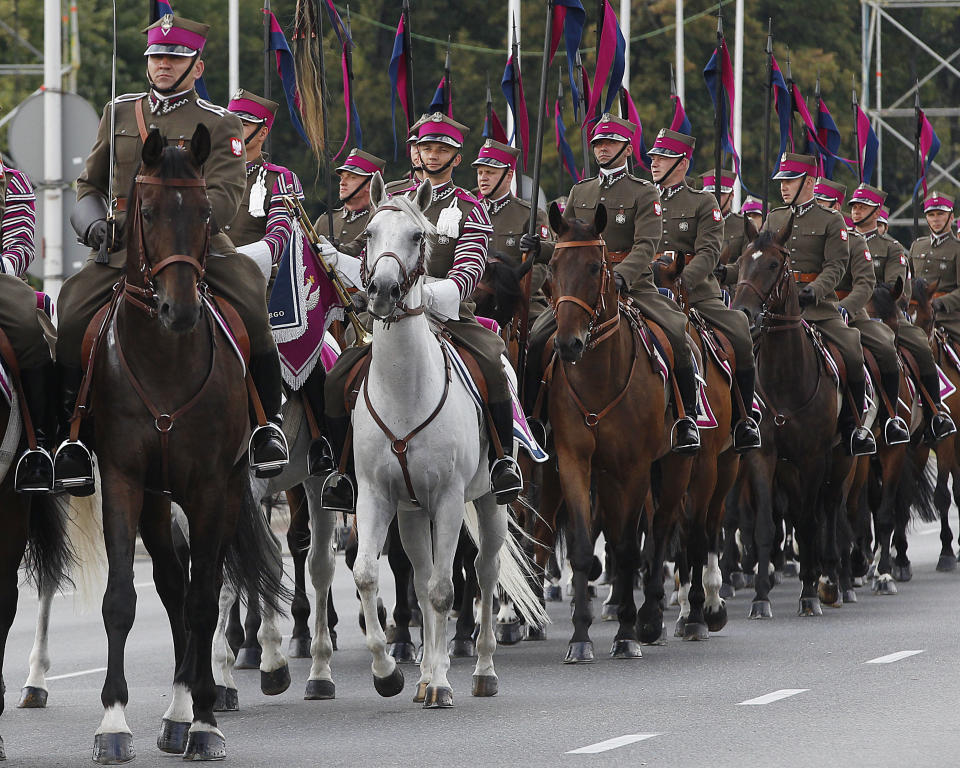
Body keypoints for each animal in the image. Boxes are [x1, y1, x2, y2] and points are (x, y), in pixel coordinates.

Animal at [85, 127, 284, 760]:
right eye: (145, 211)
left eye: (203, 214)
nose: (180, 310)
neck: (166, 359)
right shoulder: (123, 480)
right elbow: (124, 599)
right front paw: (113, 723)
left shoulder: (211, 487)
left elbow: (205, 599)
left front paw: (205, 722)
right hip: (157, 500)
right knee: (172, 587)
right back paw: (174, 712)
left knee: (201, 590)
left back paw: (193, 709)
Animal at [348, 174, 544, 708]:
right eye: (368, 234)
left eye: (419, 236)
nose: (382, 290)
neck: (404, 390)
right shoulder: (375, 495)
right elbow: (370, 574)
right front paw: (388, 673)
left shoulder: (451, 498)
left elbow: (444, 589)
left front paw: (439, 680)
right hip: (413, 512)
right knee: (419, 575)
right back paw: (422, 676)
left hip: (490, 502)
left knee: (483, 569)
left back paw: (480, 671)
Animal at [540, 204, 688, 660]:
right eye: (552, 267)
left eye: (594, 266)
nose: (567, 344)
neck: (597, 376)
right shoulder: (575, 461)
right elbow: (584, 546)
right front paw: (579, 637)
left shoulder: (635, 466)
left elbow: (626, 548)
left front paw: (627, 634)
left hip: (673, 466)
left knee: (659, 531)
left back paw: (651, 617)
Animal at [732, 216, 852, 616]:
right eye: (740, 262)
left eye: (773, 264)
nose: (743, 313)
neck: (786, 378)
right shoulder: (763, 455)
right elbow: (766, 525)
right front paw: (760, 598)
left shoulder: (813, 457)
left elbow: (810, 522)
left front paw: (811, 593)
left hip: (841, 459)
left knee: (828, 510)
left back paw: (829, 579)